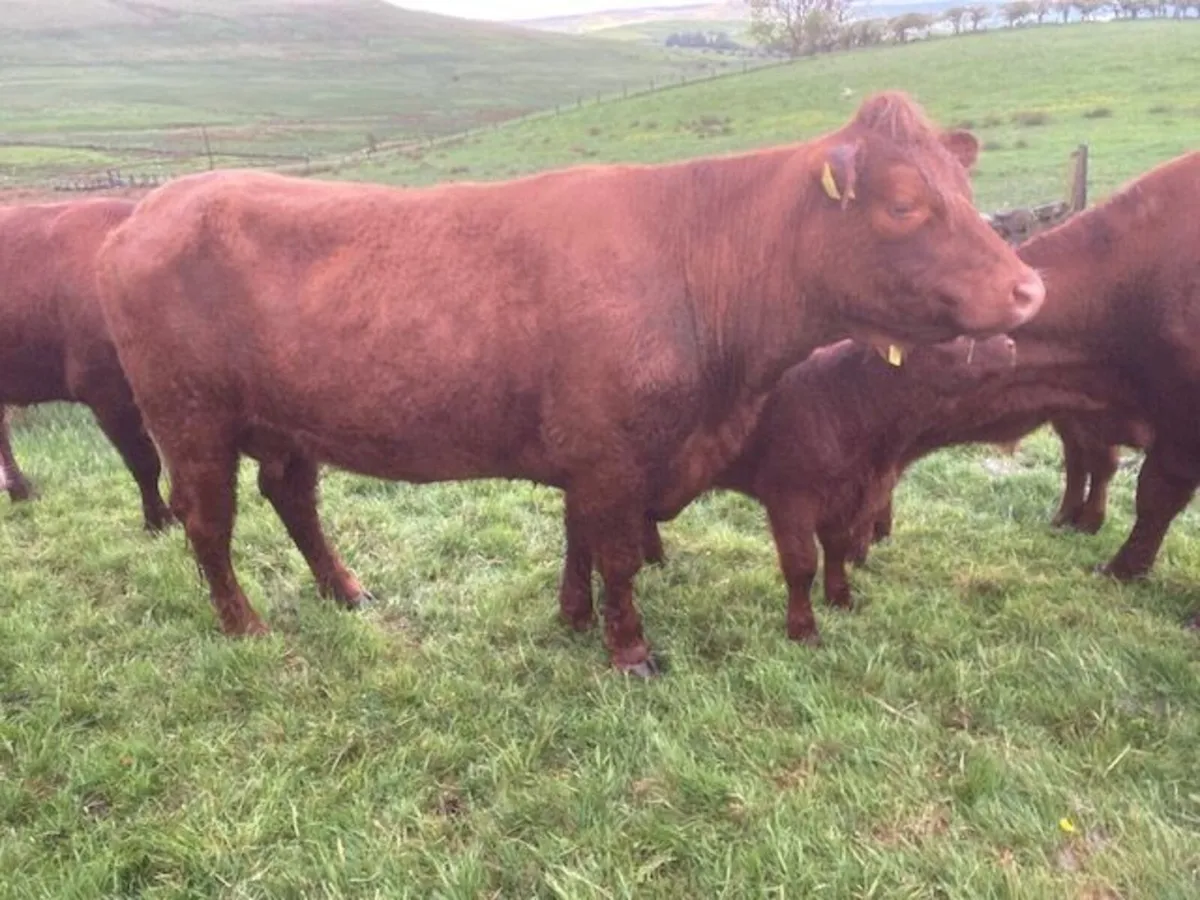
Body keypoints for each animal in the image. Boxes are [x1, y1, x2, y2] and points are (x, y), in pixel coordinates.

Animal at [95, 92, 1044, 675]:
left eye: (964, 187)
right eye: (905, 203)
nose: (1030, 288)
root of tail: (150, 208)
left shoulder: (594, 457)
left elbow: (579, 538)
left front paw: (573, 617)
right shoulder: (613, 453)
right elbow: (617, 551)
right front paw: (629, 652)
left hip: (289, 423)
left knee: (292, 497)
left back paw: (346, 589)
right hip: (190, 420)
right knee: (208, 521)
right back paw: (244, 624)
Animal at [564, 336, 1139, 645]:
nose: (1012, 342)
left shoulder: (848, 493)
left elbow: (838, 548)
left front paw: (842, 598)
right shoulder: (790, 494)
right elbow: (801, 562)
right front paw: (803, 629)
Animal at [1010, 150, 1200, 629]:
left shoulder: (1181, 423)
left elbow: (1154, 492)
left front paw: (1121, 568)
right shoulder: (1075, 412)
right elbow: (1088, 463)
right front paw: (1077, 520)